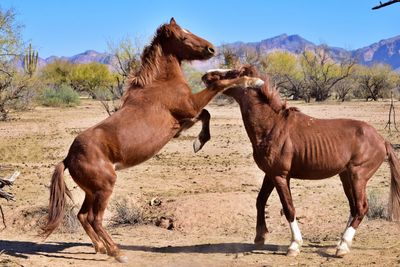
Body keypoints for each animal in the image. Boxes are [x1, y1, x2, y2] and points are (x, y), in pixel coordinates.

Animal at [42, 19, 264, 264]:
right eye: (183, 37)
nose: (211, 49)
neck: (160, 83)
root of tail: (68, 158)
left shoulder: (185, 119)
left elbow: (206, 114)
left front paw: (198, 143)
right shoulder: (190, 106)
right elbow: (217, 89)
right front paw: (253, 80)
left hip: (92, 191)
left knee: (82, 216)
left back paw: (100, 248)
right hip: (104, 188)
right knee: (94, 219)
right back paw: (118, 253)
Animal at [202, 65, 400, 258]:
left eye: (234, 72)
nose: (206, 76)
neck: (272, 126)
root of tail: (382, 140)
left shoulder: (281, 176)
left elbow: (288, 208)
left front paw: (294, 245)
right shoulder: (270, 174)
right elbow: (260, 201)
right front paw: (260, 237)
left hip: (358, 176)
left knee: (361, 207)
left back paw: (343, 246)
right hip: (345, 177)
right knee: (353, 208)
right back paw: (341, 243)